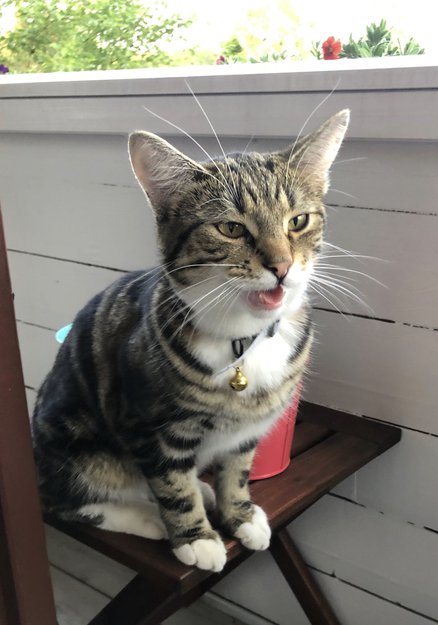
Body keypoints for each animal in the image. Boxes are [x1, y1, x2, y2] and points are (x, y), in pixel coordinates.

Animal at [32, 109, 349, 573]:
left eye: (298, 221)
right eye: (231, 228)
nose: (282, 267)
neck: (243, 338)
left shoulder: (248, 429)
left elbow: (237, 469)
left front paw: (240, 514)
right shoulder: (151, 427)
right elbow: (170, 483)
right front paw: (195, 538)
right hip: (77, 447)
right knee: (67, 499)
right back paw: (148, 517)